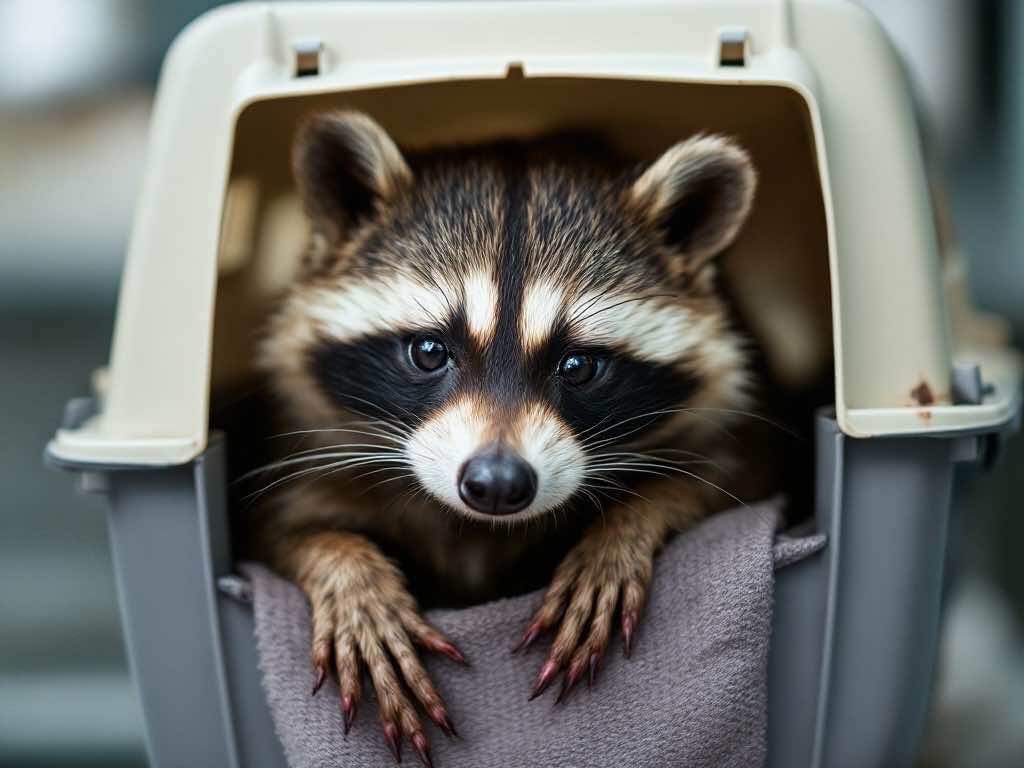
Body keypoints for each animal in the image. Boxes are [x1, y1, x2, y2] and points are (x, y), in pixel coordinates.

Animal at [248, 110, 771, 765]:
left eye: (578, 365)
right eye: (429, 351)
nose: (496, 484)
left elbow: (728, 477)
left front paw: (627, 525)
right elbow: (287, 526)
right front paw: (347, 570)